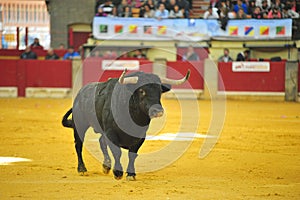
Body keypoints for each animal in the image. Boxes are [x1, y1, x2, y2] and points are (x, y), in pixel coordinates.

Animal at [61, 69, 190, 180]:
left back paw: (106, 166)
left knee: (101, 142)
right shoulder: (111, 132)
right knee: (79, 145)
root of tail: (80, 93)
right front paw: (118, 173)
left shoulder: (140, 136)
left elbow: (132, 154)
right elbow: (117, 152)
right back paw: (82, 169)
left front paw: (131, 174)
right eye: (141, 91)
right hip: (80, 125)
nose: (158, 111)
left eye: (159, 91)